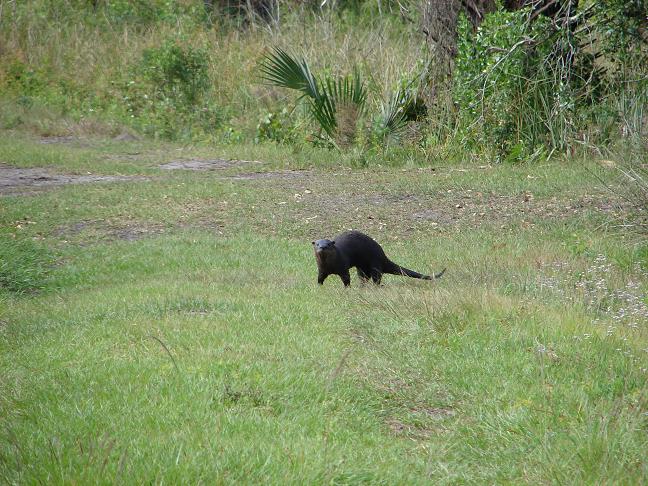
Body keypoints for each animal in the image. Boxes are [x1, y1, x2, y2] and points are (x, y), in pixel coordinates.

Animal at [312, 231, 445, 287]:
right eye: (317, 244)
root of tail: (383, 255)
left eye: (328, 244)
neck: (330, 266)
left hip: (375, 263)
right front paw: (319, 287)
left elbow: (346, 279)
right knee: (364, 277)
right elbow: (320, 278)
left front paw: (347, 288)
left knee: (376, 277)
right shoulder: (321, 269)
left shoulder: (343, 268)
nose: (322, 247)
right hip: (362, 268)